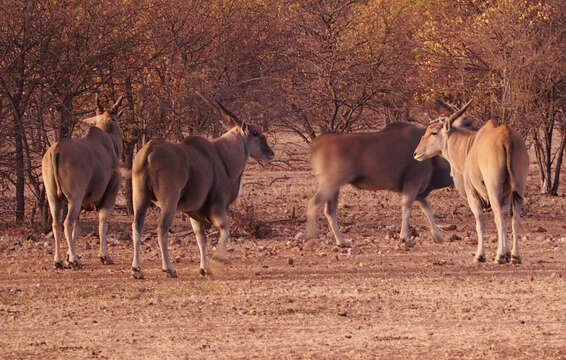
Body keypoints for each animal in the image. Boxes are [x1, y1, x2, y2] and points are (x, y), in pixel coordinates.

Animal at [131, 92, 278, 278]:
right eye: (256, 133)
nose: (270, 153)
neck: (222, 157)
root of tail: (149, 151)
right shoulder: (217, 207)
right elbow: (225, 231)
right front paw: (217, 262)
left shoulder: (194, 213)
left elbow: (201, 238)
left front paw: (204, 268)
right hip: (169, 202)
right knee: (161, 228)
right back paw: (168, 269)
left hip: (140, 199)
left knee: (137, 226)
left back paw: (137, 269)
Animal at [306, 121, 458, 248]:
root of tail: (316, 144)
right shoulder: (412, 184)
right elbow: (407, 209)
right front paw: (405, 238)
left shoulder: (420, 194)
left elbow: (429, 211)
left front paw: (438, 237)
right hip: (330, 184)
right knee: (314, 204)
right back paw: (312, 239)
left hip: (334, 188)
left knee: (329, 211)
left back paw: (342, 241)